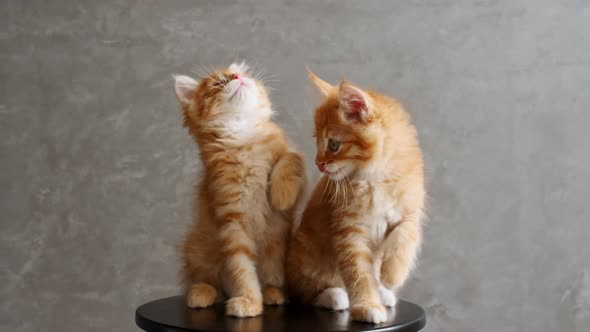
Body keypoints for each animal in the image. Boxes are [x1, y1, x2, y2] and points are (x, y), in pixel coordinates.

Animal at [173, 63, 306, 318]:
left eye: (244, 75)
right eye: (218, 83)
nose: (237, 76)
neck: (244, 139)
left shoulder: (293, 157)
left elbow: (290, 159)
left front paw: (281, 194)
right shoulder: (232, 220)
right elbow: (241, 269)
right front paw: (249, 301)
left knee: (272, 277)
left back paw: (274, 293)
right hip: (197, 247)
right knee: (208, 281)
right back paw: (201, 293)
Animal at [286, 69, 426, 322]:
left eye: (333, 144)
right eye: (317, 141)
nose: (319, 164)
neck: (376, 178)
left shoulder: (410, 212)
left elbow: (406, 236)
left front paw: (392, 274)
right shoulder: (349, 230)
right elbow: (359, 272)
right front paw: (367, 306)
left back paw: (383, 290)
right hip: (305, 258)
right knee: (303, 292)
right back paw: (333, 296)